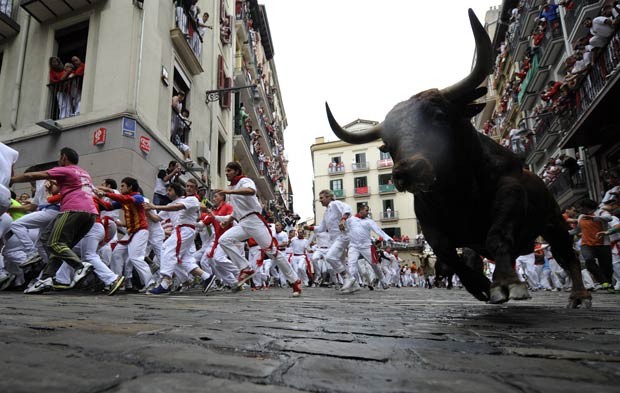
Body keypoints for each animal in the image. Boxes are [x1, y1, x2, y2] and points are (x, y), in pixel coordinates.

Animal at [324, 9, 592, 308]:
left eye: (439, 117)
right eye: (387, 144)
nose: (407, 171)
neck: (456, 191)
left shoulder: (510, 191)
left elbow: (498, 234)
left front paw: (505, 283)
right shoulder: (430, 222)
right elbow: (450, 255)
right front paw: (481, 285)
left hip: (554, 220)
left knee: (567, 255)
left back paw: (579, 295)